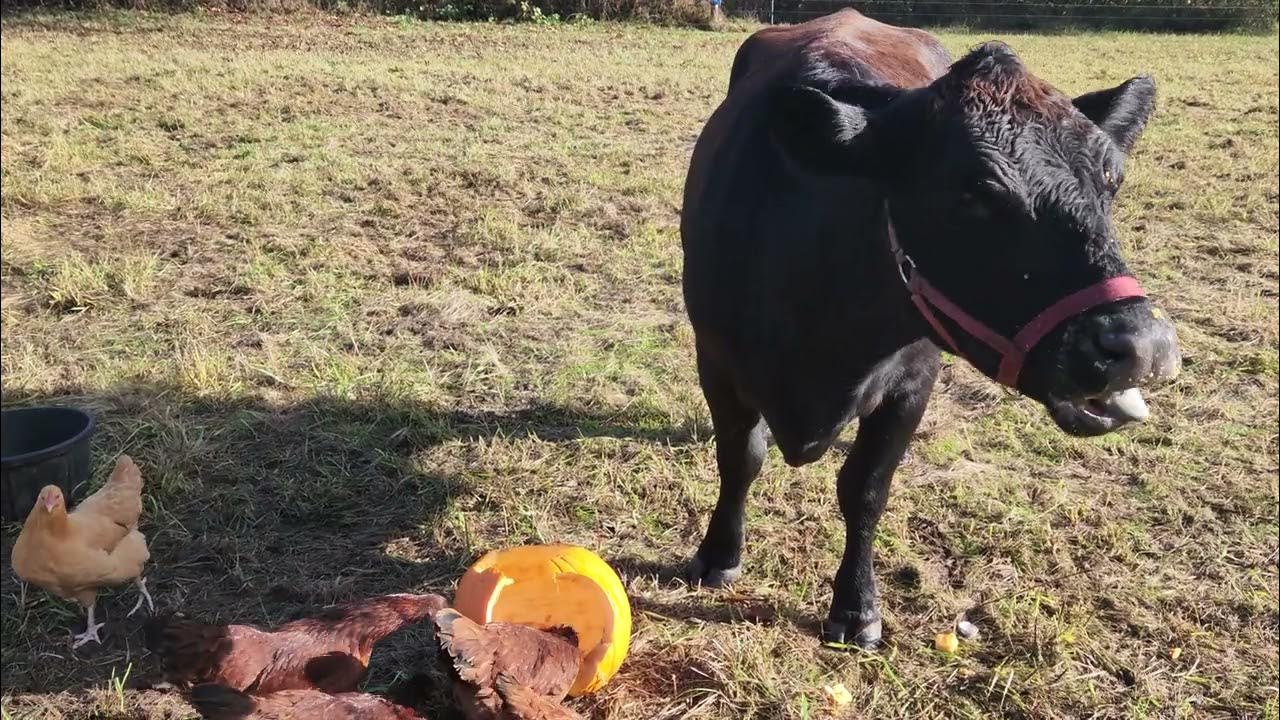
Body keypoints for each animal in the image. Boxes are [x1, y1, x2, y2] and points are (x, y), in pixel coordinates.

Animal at [679, 9, 1181, 648]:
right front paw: (719, 554)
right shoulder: (716, 359)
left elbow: (865, 488)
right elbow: (739, 458)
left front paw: (856, 607)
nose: (1141, 345)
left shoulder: (912, 382)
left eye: (1111, 181)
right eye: (972, 193)